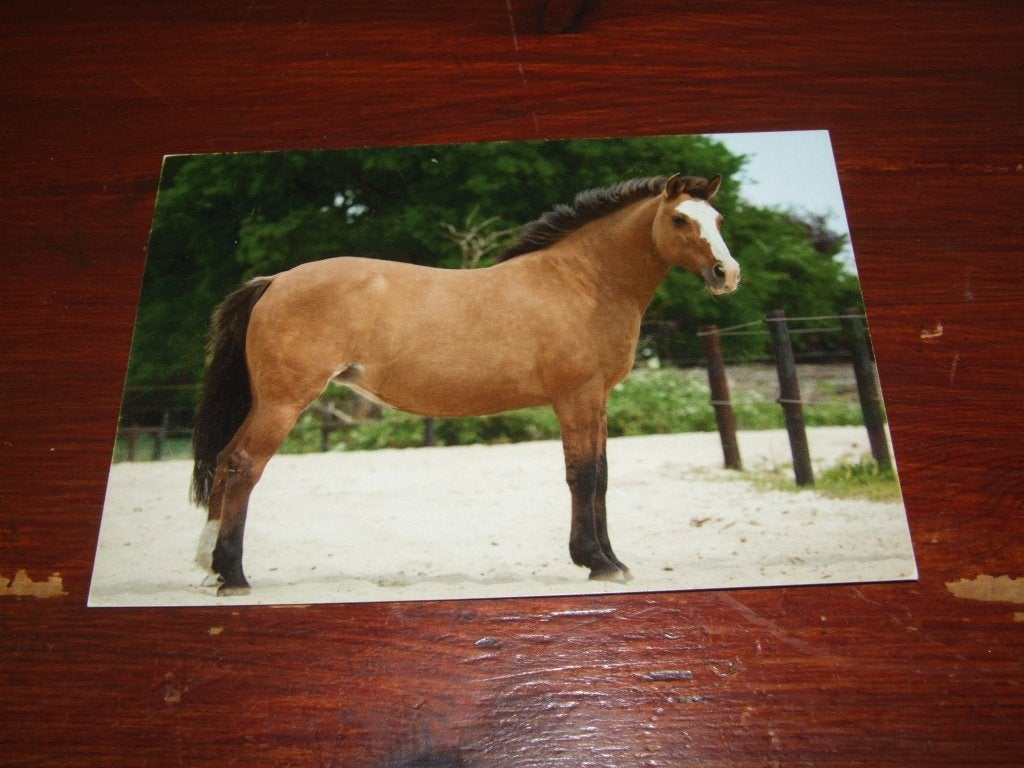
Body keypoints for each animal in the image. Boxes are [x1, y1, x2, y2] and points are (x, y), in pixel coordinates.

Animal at [191, 173, 740, 595]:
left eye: (717, 221)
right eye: (679, 220)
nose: (727, 273)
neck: (584, 282)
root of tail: (274, 281)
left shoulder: (597, 400)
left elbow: (601, 477)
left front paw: (611, 561)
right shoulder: (576, 398)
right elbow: (582, 477)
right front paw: (597, 563)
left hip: (267, 403)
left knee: (225, 459)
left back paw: (207, 567)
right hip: (284, 403)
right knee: (244, 465)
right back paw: (233, 576)